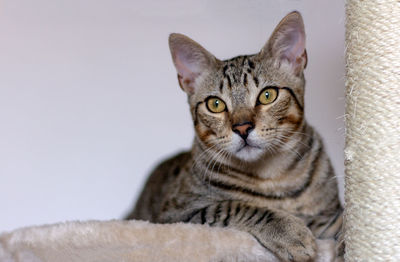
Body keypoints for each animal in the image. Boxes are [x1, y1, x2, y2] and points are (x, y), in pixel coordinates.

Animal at [126, 11, 342, 260]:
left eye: (267, 95)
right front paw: (289, 231)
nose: (242, 128)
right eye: (215, 104)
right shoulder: (175, 216)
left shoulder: (327, 214)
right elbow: (236, 206)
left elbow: (343, 220)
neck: (273, 177)